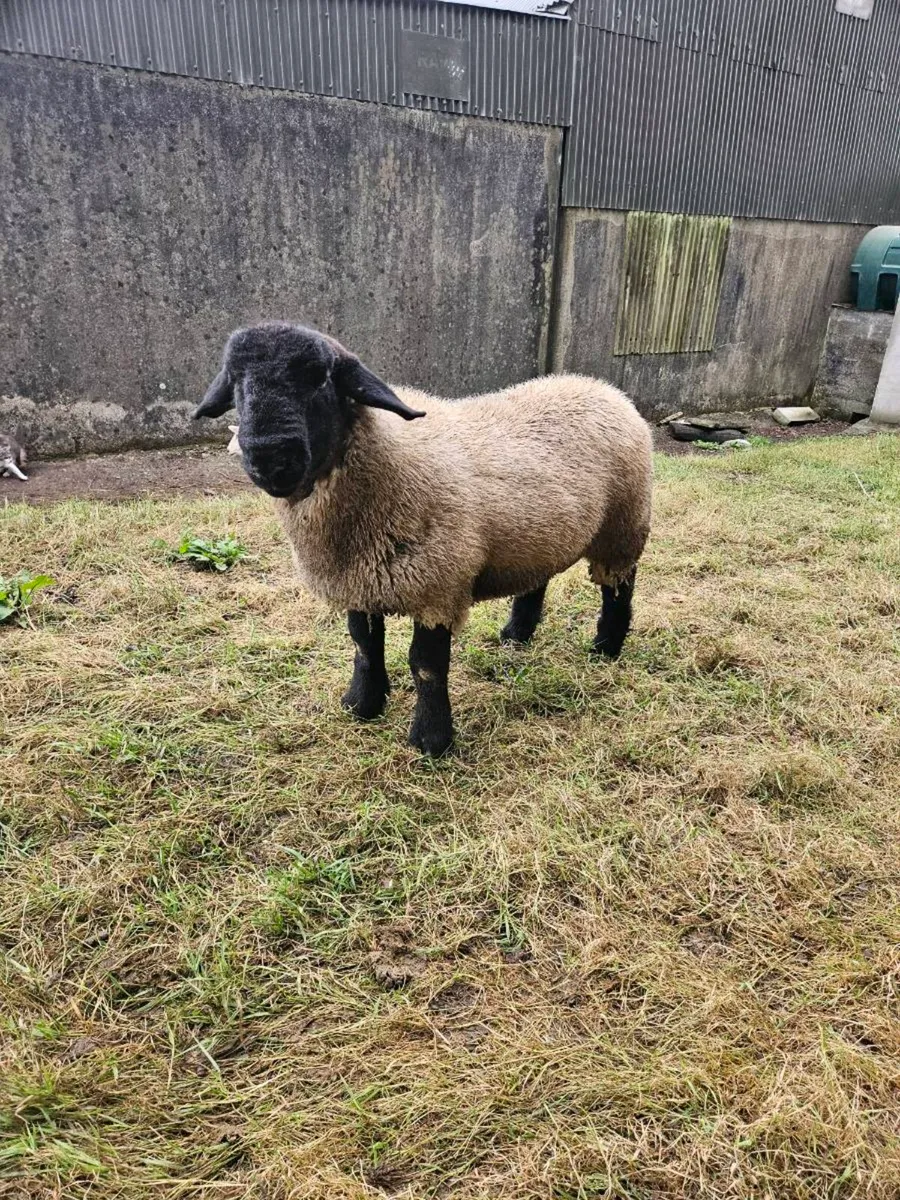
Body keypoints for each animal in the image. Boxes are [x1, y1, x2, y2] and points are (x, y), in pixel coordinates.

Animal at [195, 323, 652, 756]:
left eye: (321, 379)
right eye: (235, 380)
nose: (270, 457)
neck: (389, 458)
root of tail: (600, 386)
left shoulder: (438, 587)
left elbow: (426, 666)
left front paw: (431, 740)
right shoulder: (361, 580)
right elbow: (364, 645)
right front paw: (362, 705)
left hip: (623, 525)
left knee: (618, 586)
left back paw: (607, 646)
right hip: (538, 531)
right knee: (537, 577)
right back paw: (516, 633)